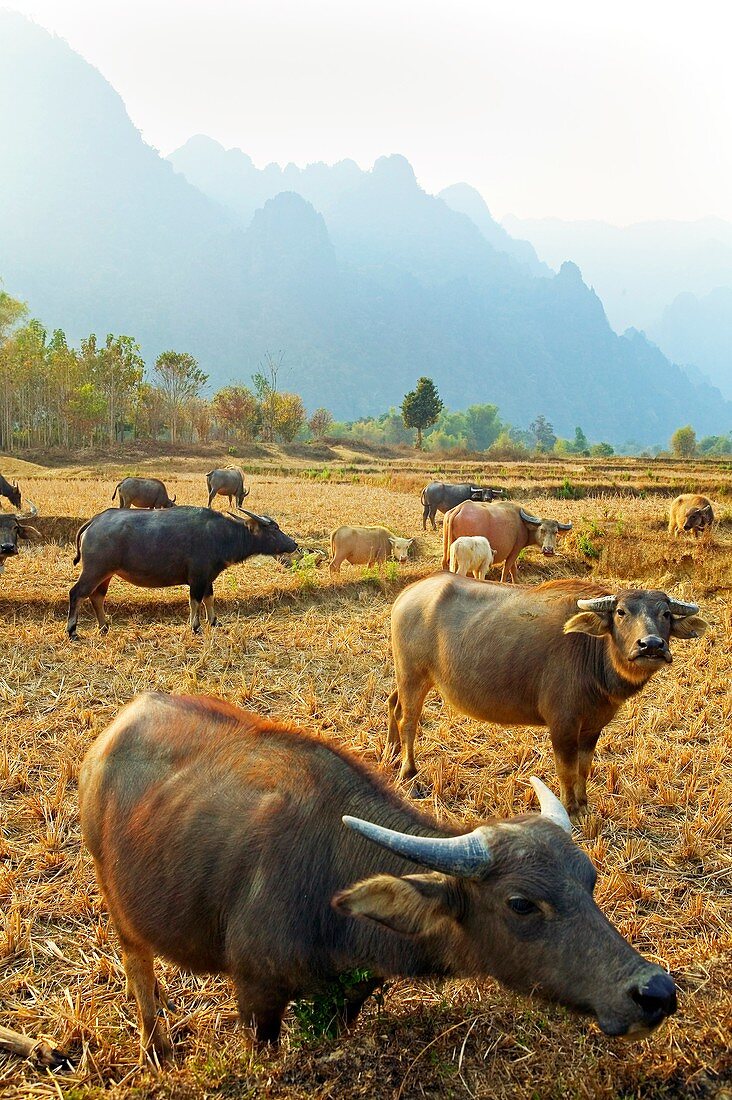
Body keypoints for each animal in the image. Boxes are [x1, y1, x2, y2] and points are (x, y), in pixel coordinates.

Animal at [67, 503, 295, 638]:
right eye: (274, 529)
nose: (294, 544)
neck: (221, 535)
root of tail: (94, 521)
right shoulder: (198, 578)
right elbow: (195, 601)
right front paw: (195, 627)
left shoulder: (208, 578)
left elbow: (209, 599)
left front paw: (214, 622)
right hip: (94, 570)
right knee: (77, 593)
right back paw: (72, 631)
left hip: (106, 574)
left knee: (97, 596)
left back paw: (104, 627)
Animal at [77, 690, 678, 1060]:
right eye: (521, 903)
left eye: (590, 881)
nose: (655, 990)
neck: (329, 883)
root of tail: (107, 740)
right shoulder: (255, 993)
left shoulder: (350, 994)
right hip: (121, 909)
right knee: (138, 966)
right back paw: (156, 1046)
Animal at [385, 576, 704, 818]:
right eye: (621, 612)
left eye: (665, 614)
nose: (651, 645)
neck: (593, 653)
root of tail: (407, 594)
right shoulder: (563, 725)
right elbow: (566, 770)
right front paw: (570, 808)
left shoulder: (592, 727)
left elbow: (584, 768)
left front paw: (584, 804)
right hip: (413, 675)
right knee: (409, 721)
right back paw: (408, 773)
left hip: (408, 677)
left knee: (393, 704)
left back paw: (391, 751)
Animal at [440, 501, 572, 585]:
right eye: (542, 530)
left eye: (555, 532)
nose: (548, 550)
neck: (523, 524)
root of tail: (459, 508)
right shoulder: (515, 550)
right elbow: (507, 568)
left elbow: (513, 569)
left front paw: (516, 583)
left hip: (448, 549)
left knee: (445, 563)